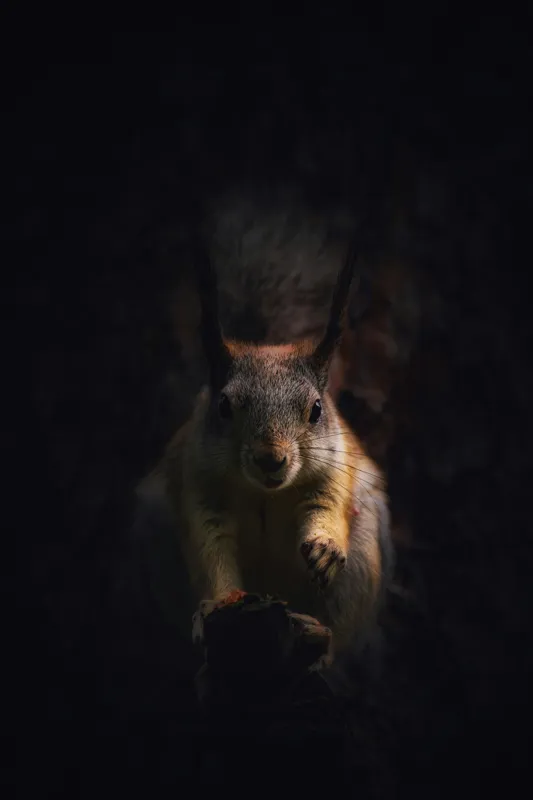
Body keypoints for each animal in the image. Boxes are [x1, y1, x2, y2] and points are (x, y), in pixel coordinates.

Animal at [154, 238, 393, 663]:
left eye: (316, 410)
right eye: (223, 406)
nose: (271, 459)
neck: (264, 491)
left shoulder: (335, 469)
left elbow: (325, 506)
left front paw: (325, 547)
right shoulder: (197, 481)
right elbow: (210, 545)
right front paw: (219, 602)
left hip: (362, 564)